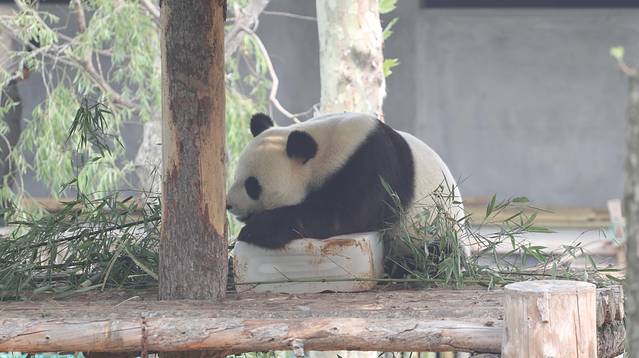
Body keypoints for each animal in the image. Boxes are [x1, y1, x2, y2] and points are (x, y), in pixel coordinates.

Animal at [226, 112, 464, 252]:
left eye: (252, 186)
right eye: (236, 176)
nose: (228, 204)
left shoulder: (372, 163)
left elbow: (347, 216)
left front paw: (256, 230)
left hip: (432, 232)